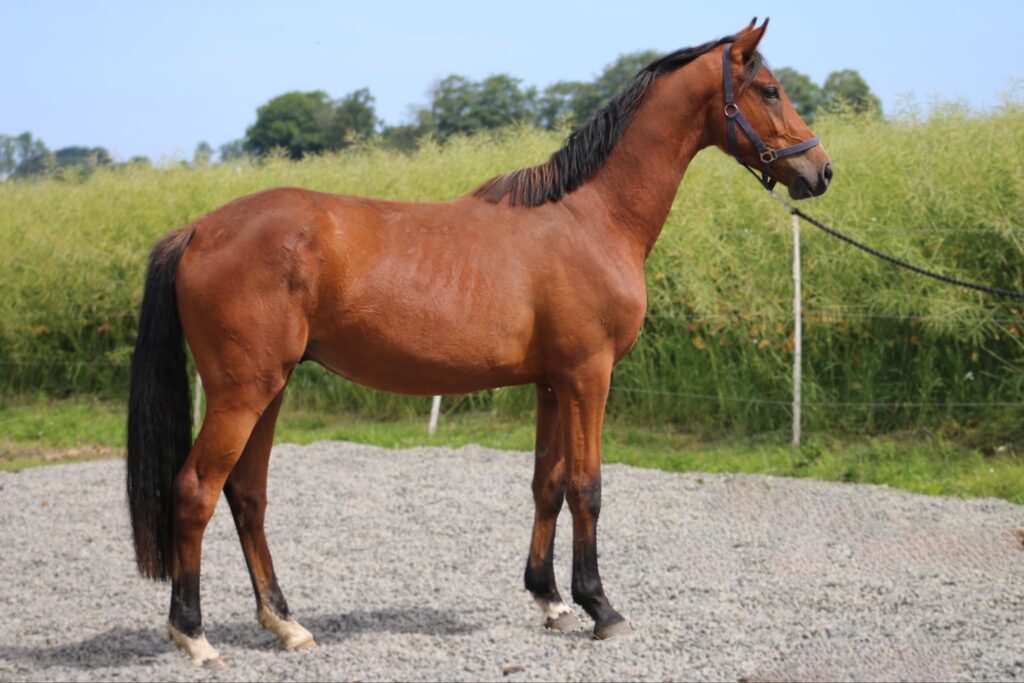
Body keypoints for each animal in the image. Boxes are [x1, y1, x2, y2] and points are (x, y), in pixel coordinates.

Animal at [128, 20, 831, 667]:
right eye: (769, 89)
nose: (819, 170)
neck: (592, 218)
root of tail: (198, 230)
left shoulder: (552, 382)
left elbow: (548, 484)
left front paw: (551, 600)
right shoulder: (588, 376)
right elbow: (588, 486)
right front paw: (601, 607)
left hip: (268, 390)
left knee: (247, 495)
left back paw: (286, 624)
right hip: (242, 393)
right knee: (195, 491)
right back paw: (194, 636)